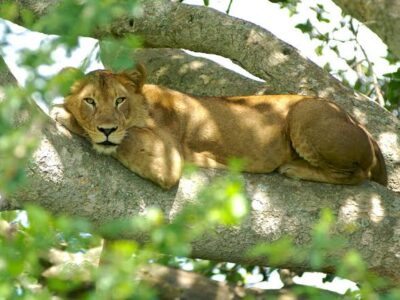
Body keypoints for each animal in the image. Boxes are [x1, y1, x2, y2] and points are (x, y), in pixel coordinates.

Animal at [50, 64, 388, 189]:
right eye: (90, 101)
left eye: (120, 100)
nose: (106, 129)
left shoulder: (167, 160)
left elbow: (126, 140)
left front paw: (63, 115)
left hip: (305, 112)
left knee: (356, 175)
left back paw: (294, 169)